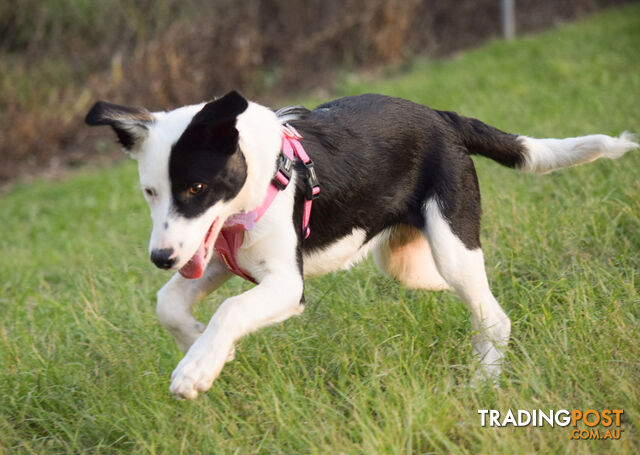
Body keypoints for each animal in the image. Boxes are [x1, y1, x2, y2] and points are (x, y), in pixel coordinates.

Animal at [85, 91, 636, 400]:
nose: (161, 259)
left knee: (492, 315)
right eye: (150, 192)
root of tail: (442, 116)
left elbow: (231, 310)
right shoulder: (219, 257)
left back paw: (483, 383)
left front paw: (197, 370)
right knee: (470, 293)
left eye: (196, 189)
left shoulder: (285, 284)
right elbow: (169, 303)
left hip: (450, 237)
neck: (259, 176)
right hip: (407, 261)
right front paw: (202, 346)